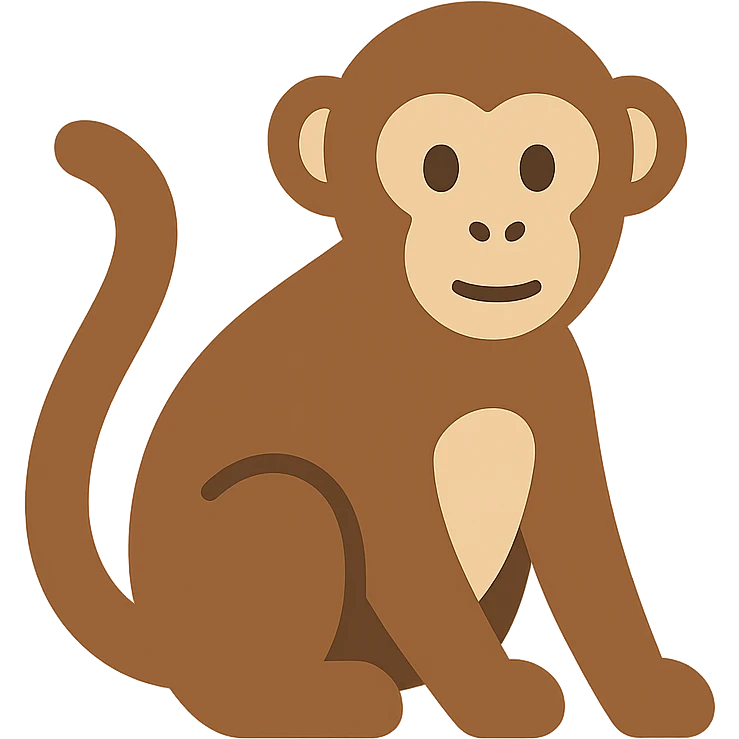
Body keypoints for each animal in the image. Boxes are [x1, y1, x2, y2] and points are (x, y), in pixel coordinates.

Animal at [25, 2, 713, 738]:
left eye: (540, 164)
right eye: (438, 166)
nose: (497, 225)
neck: (470, 353)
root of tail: (160, 631)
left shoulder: (558, 400)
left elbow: (590, 560)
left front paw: (650, 694)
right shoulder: (365, 415)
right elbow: (414, 561)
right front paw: (495, 697)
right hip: (272, 526)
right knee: (264, 584)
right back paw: (329, 699)